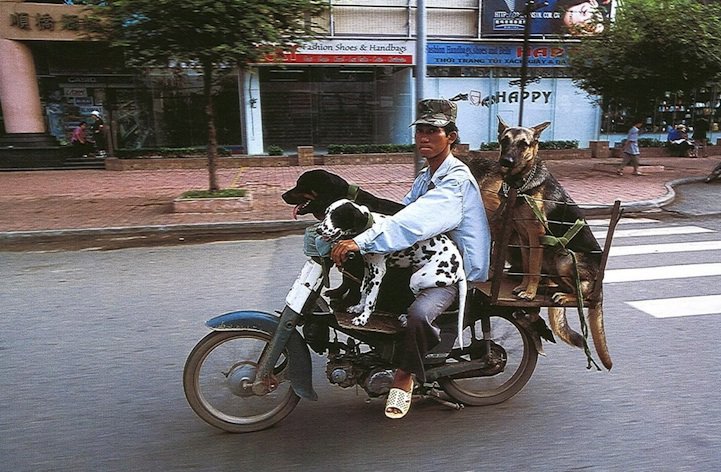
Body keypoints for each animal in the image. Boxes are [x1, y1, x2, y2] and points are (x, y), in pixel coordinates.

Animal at [316, 199, 466, 346]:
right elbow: (364, 291)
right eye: (327, 212)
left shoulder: (377, 273)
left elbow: (371, 300)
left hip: (417, 279)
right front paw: (359, 308)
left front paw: (363, 318)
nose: (318, 230)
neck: (370, 226)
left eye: (337, 216)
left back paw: (406, 318)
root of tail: (460, 267)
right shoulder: (368, 269)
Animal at [498, 117, 612, 368]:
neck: (522, 183)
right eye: (504, 141)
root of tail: (600, 286)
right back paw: (552, 289)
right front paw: (524, 288)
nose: (505, 161)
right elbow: (528, 266)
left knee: (582, 294)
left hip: (565, 258)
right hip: (554, 263)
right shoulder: (524, 238)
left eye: (524, 144)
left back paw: (564, 295)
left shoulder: (536, 236)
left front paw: (529, 293)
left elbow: (532, 268)